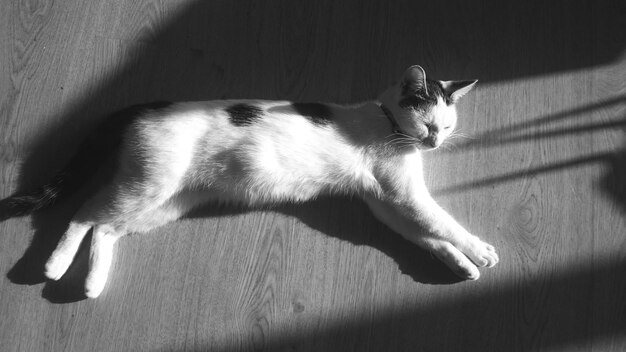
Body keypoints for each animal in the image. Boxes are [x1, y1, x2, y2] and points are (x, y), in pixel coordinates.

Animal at [0, 65, 498, 296]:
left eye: (447, 126)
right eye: (429, 123)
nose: (435, 141)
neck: (386, 121)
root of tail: (145, 106)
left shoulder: (383, 203)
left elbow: (425, 236)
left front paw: (461, 264)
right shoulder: (404, 195)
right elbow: (442, 223)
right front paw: (480, 251)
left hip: (163, 203)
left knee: (104, 227)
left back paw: (91, 284)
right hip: (148, 187)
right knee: (84, 214)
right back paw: (54, 266)